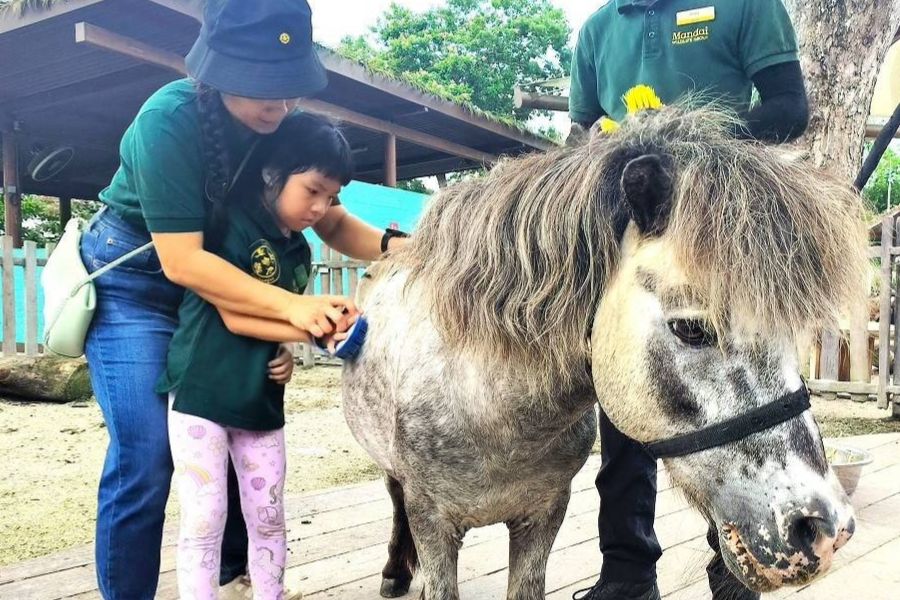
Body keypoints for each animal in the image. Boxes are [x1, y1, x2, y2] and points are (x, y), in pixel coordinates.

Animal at [341, 105, 868, 600]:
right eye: (692, 328)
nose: (824, 530)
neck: (488, 407)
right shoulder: (433, 522)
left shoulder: (543, 515)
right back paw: (395, 572)